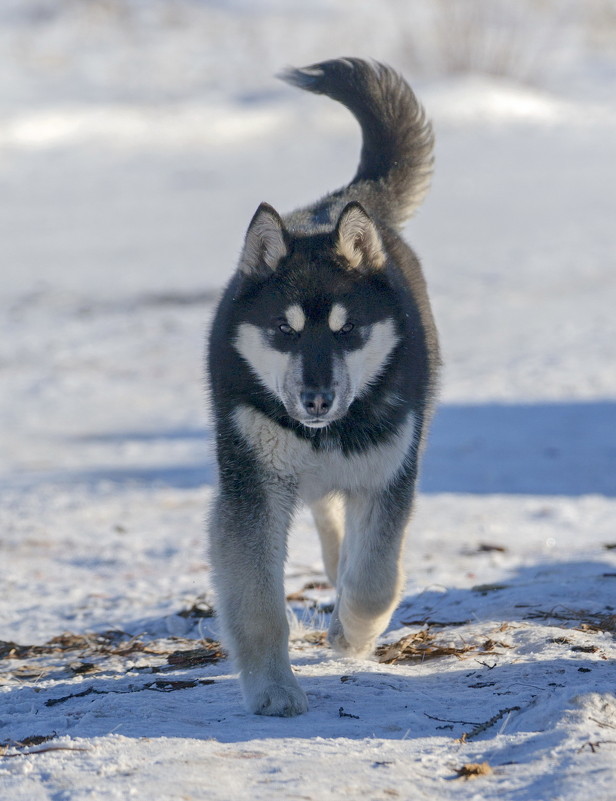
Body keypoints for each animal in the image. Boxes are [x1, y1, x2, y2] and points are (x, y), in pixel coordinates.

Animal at [207, 57, 438, 720]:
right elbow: (260, 604)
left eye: (348, 329)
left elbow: (378, 576)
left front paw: (352, 634)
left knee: (345, 529)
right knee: (326, 512)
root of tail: (338, 202)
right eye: (284, 330)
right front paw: (273, 688)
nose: (316, 400)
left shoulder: (389, 471)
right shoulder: (253, 487)